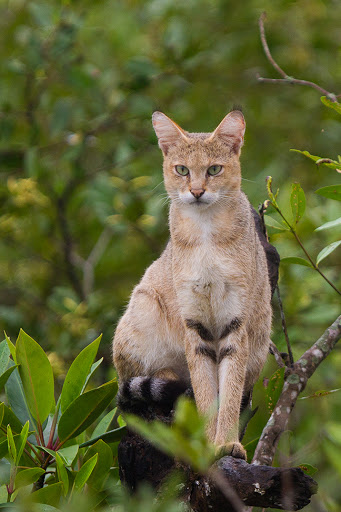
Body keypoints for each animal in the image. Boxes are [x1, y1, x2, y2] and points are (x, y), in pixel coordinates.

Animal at [111, 110, 270, 458]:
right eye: (182, 169)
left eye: (214, 169)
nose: (196, 191)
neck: (206, 232)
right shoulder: (194, 326)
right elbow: (205, 392)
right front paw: (208, 444)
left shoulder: (235, 323)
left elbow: (229, 393)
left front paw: (227, 443)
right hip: (142, 308)